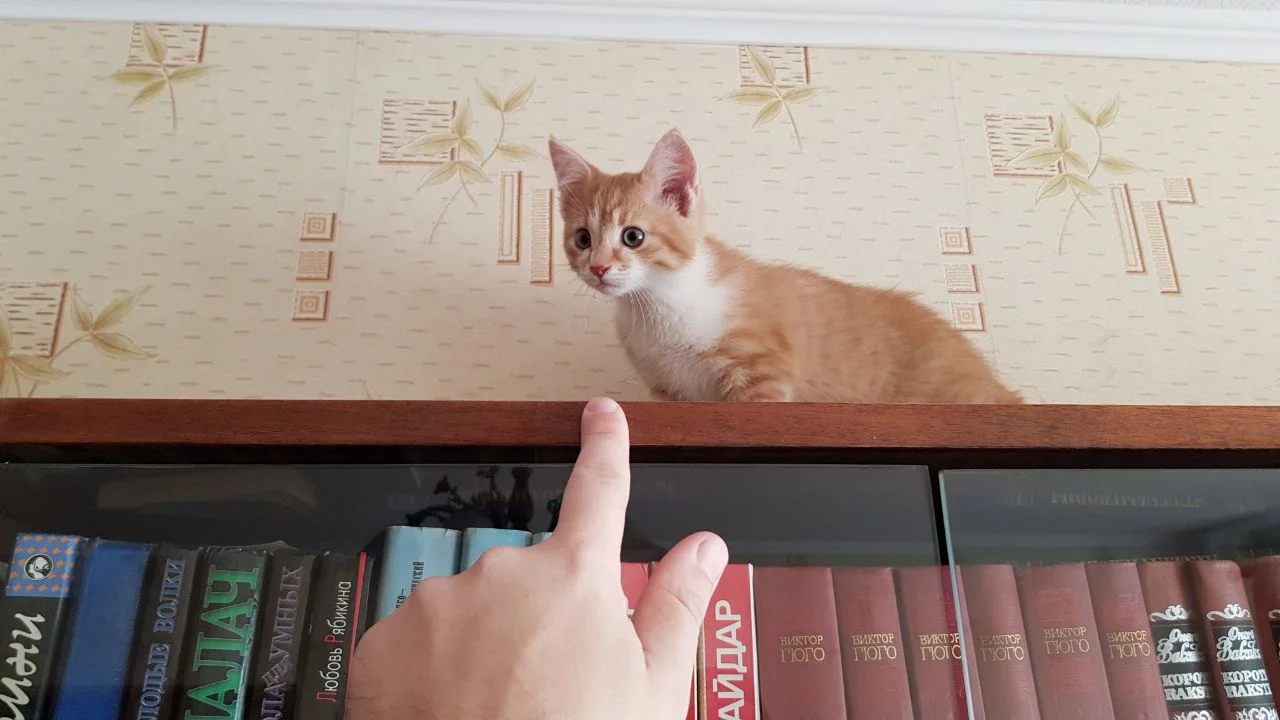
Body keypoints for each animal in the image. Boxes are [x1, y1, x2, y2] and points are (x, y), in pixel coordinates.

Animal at [548, 129, 1023, 404]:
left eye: (633, 237)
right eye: (583, 239)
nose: (599, 269)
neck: (658, 306)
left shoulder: (763, 371)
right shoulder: (671, 395)